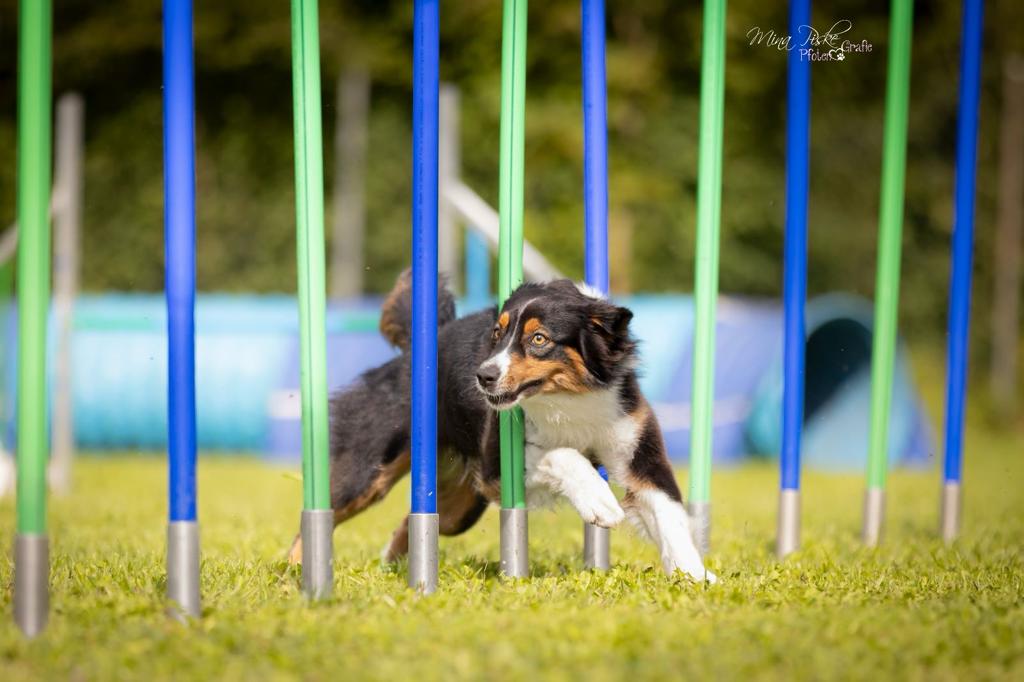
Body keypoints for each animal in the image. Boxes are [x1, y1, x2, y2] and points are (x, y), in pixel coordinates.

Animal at [288, 268, 716, 581]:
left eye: (539, 339)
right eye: (497, 333)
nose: (483, 376)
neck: (568, 397)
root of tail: (411, 351)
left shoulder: (636, 446)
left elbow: (670, 514)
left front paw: (695, 577)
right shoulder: (497, 466)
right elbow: (563, 454)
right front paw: (599, 502)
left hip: (461, 505)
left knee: (412, 523)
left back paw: (394, 567)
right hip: (371, 469)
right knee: (324, 511)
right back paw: (298, 571)